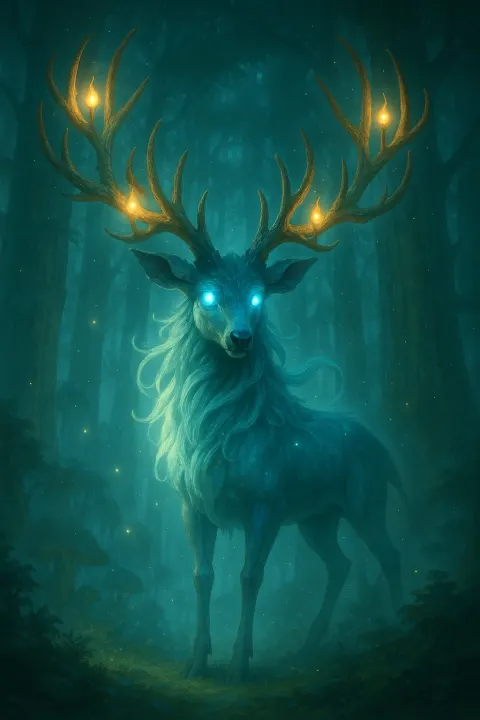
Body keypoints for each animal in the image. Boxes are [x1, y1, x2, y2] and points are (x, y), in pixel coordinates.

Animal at [39, 29, 428, 682]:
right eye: (208, 295)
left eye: (259, 298)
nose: (242, 339)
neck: (222, 447)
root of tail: (388, 451)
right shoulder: (193, 505)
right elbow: (203, 576)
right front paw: (198, 658)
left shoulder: (267, 503)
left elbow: (250, 576)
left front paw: (242, 662)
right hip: (318, 518)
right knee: (341, 564)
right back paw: (311, 644)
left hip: (364, 499)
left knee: (390, 554)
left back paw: (394, 628)